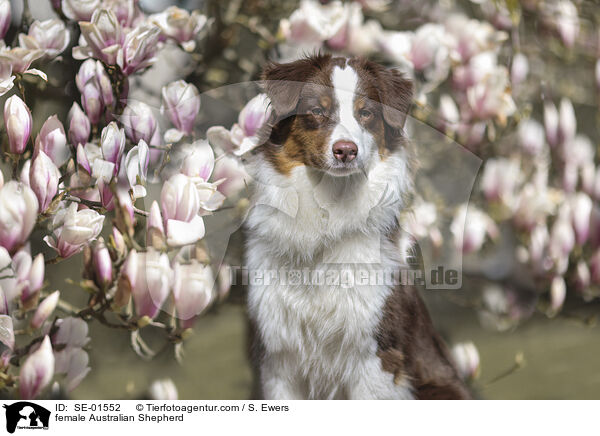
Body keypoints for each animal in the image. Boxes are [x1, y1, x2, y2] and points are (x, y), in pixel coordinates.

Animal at [243, 53, 468, 398]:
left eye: (366, 113)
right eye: (317, 111)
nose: (346, 151)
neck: (328, 206)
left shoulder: (375, 353)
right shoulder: (278, 356)